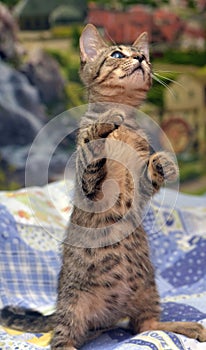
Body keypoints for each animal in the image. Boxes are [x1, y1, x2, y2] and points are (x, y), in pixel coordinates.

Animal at [0, 23, 206, 348]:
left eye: (144, 56)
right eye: (117, 54)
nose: (140, 59)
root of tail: (112, 313)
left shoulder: (140, 191)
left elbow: (150, 177)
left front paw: (164, 163)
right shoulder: (89, 186)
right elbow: (91, 149)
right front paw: (104, 125)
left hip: (148, 289)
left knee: (145, 326)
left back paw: (186, 326)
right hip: (73, 307)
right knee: (62, 339)